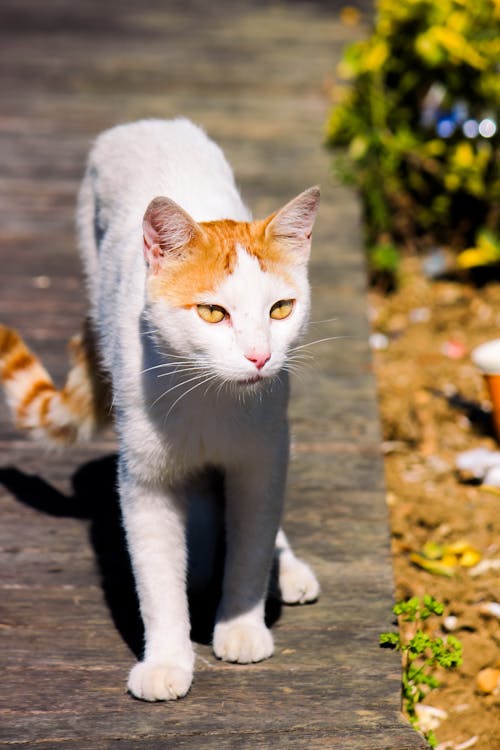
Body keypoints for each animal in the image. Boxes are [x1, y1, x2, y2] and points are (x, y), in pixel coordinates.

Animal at [0, 116, 320, 700]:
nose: (260, 356)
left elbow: (251, 544)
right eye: (213, 313)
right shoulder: (144, 481)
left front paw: (241, 624)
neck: (211, 395)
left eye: (281, 309)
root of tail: (148, 123)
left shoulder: (261, 460)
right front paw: (168, 659)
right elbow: (157, 581)